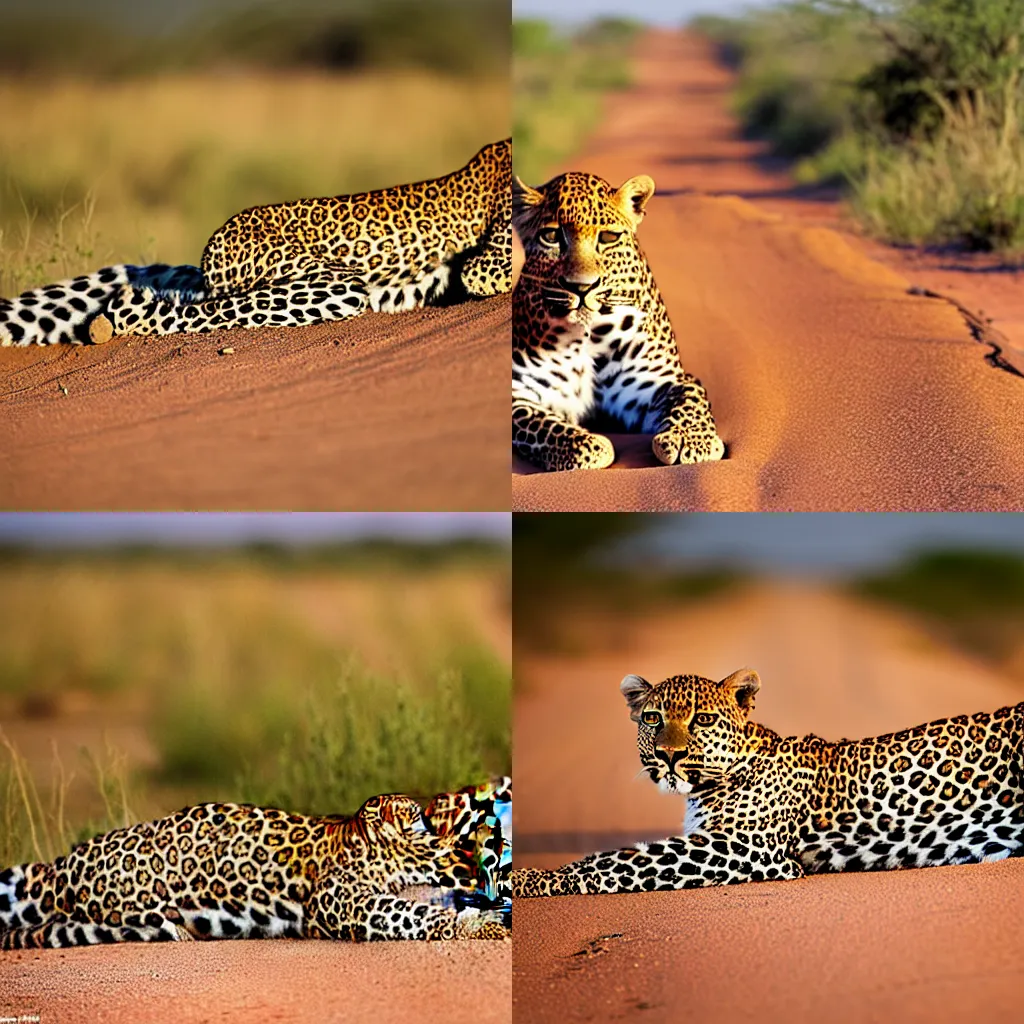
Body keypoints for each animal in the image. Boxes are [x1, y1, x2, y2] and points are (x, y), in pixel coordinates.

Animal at [0, 774, 512, 950]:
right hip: (131, 897)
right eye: (411, 809)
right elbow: (414, 913)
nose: (428, 808)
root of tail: (61, 865)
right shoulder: (341, 900)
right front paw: (479, 927)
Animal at [509, 168, 720, 471]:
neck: (588, 335)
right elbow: (540, 424)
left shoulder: (657, 381)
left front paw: (691, 440)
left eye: (608, 237)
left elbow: (690, 397)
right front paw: (588, 446)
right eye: (551, 236)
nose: (581, 287)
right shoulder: (521, 391)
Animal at [512, 663, 1024, 897]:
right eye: (653, 718)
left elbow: (618, 861)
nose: (669, 756)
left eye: (701, 720)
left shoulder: (747, 847)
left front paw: (534, 879)